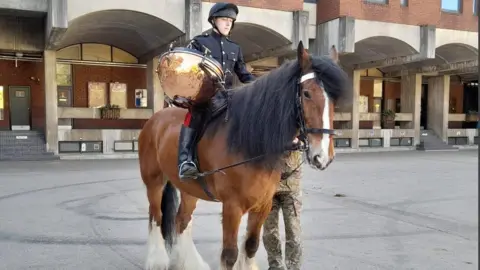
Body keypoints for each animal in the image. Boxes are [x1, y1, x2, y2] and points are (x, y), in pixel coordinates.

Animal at [137, 41, 350, 270]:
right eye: (307, 93)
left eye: (334, 98)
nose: (323, 156)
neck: (249, 141)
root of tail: (157, 117)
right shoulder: (232, 207)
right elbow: (230, 254)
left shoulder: (263, 205)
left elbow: (251, 246)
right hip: (154, 182)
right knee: (156, 217)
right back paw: (157, 260)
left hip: (189, 189)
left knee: (181, 221)